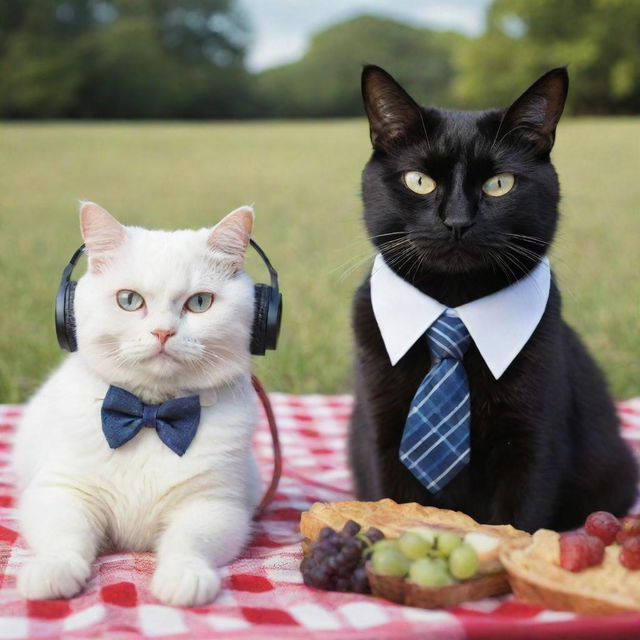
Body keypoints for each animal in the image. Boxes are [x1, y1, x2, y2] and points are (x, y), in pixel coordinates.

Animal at [10, 204, 260, 604]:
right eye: (129, 300)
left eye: (200, 302)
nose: (163, 332)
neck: (149, 417)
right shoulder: (61, 490)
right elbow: (64, 538)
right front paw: (53, 571)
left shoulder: (214, 505)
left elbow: (189, 542)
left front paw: (184, 576)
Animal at [348, 65, 636, 532]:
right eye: (419, 181)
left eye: (499, 184)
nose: (457, 221)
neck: (454, 304)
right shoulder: (382, 433)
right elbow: (392, 504)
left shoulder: (532, 442)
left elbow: (519, 521)